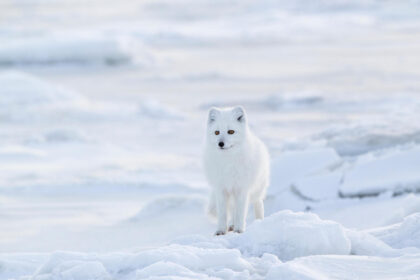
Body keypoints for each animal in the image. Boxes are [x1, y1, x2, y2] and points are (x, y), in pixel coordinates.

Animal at [203, 106, 270, 235]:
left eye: (231, 132)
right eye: (216, 132)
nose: (220, 143)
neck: (228, 162)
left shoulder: (241, 189)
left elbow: (240, 212)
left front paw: (239, 230)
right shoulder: (221, 189)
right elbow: (223, 213)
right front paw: (221, 231)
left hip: (257, 190)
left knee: (258, 203)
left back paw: (259, 221)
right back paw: (231, 226)